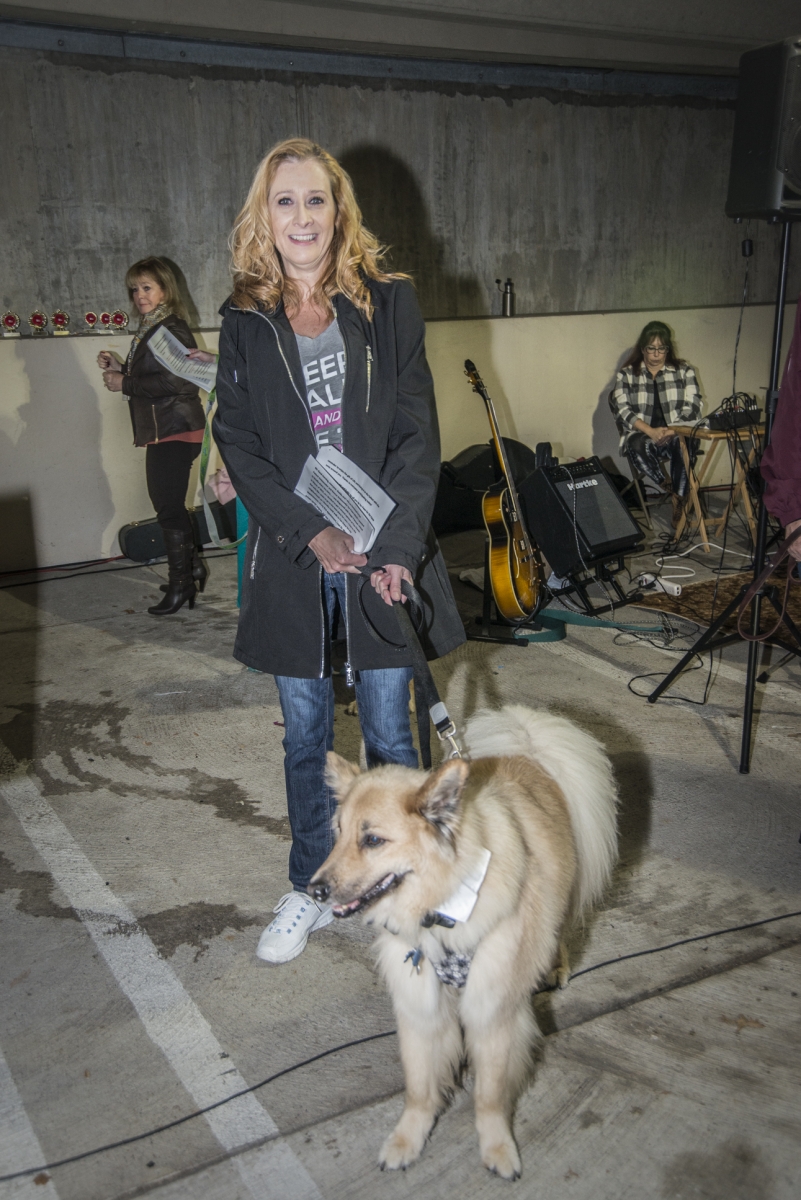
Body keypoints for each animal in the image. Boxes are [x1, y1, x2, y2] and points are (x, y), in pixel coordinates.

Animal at [309, 700, 618, 1180]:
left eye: (373, 839)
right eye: (338, 834)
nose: (315, 890)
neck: (443, 905)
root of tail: (528, 754)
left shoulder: (492, 1010)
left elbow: (489, 1095)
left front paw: (497, 1148)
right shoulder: (419, 1002)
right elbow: (419, 1086)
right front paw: (407, 1140)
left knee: (561, 931)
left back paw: (556, 965)